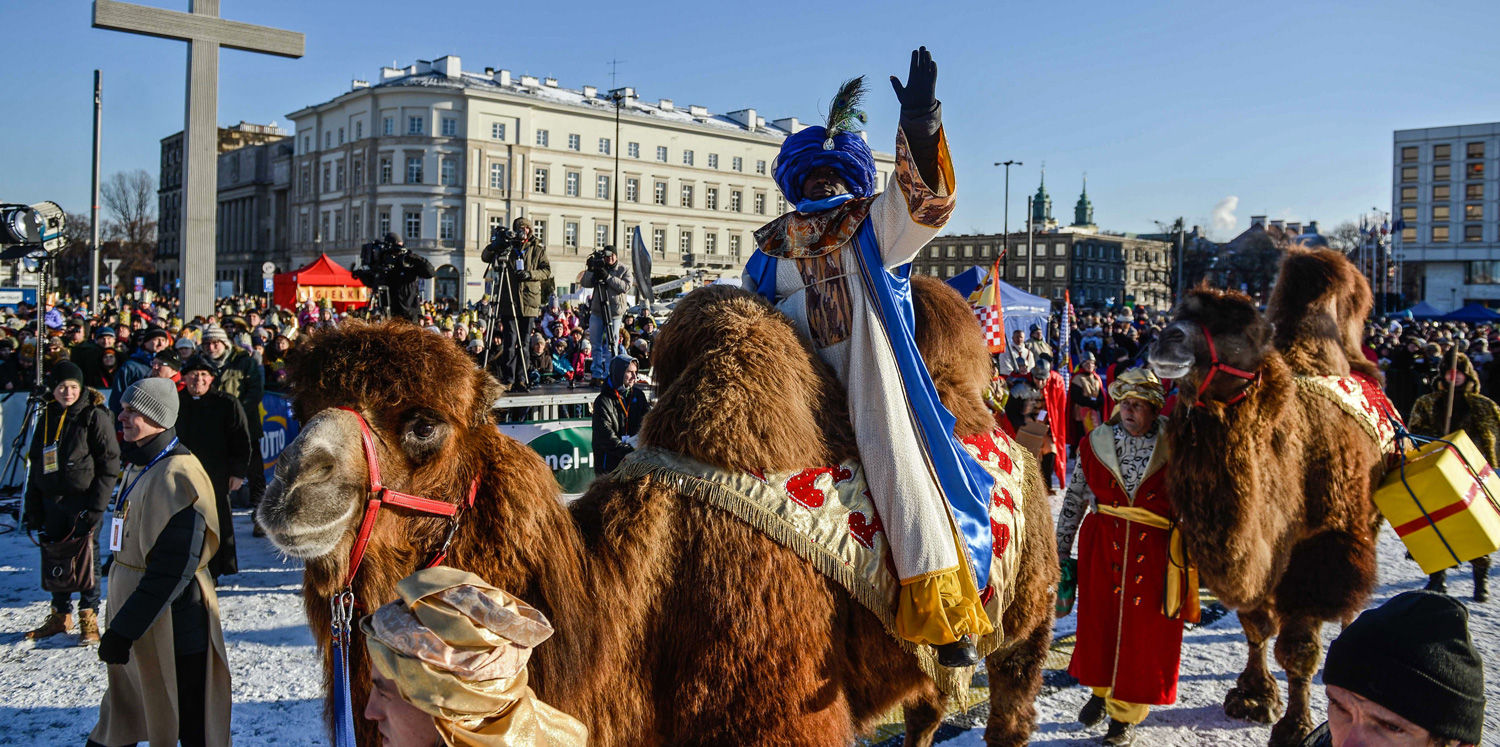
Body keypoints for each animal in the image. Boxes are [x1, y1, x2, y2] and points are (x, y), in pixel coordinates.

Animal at [258, 277, 1056, 744]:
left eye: (425, 424)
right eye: (299, 404)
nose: (291, 487)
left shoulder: (783, 710)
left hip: (1027, 610)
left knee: (1010, 698)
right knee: (925, 705)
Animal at [1146, 247, 1380, 744]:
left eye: (1242, 330)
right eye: (1178, 312)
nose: (1166, 338)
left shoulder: (1313, 553)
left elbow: (1299, 648)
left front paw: (1294, 724)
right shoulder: (1253, 549)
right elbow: (1256, 625)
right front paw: (1254, 697)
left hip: (1363, 520)